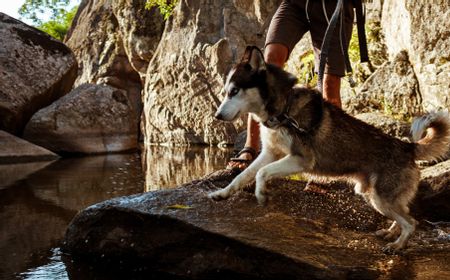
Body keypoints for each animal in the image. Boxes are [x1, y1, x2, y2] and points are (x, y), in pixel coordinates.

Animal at [210, 46, 450, 252]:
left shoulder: (300, 159)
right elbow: (243, 175)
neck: (283, 109)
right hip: (376, 197)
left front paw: (261, 194)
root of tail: (408, 146)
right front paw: (222, 193)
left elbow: (261, 173)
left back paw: (397, 245)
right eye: (226, 92)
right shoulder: (270, 153)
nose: (217, 116)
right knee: (406, 214)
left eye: (234, 91)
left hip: (381, 198)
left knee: (411, 222)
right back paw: (391, 233)